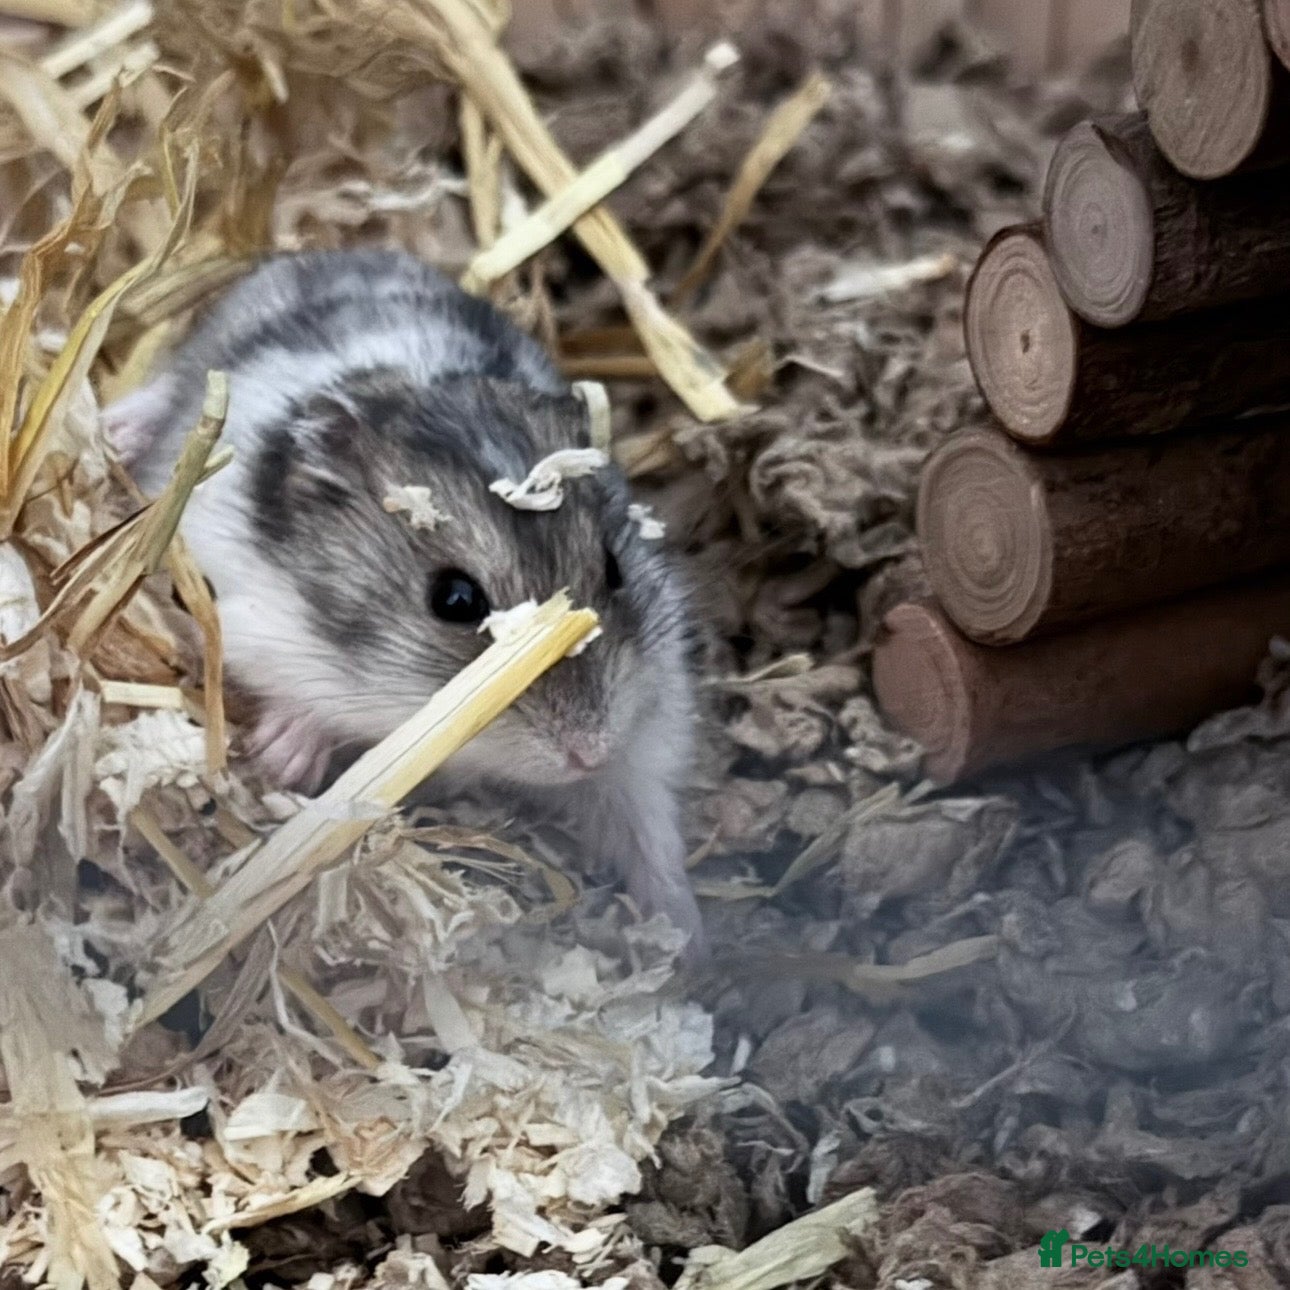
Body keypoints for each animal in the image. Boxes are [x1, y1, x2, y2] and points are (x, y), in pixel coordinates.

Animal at [103, 249, 706, 957]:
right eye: (455, 600)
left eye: (615, 569)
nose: (590, 753)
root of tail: (338, 253)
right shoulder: (247, 622)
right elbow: (302, 697)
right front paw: (283, 761)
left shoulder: (652, 716)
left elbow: (646, 820)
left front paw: (689, 933)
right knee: (170, 384)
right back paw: (113, 432)